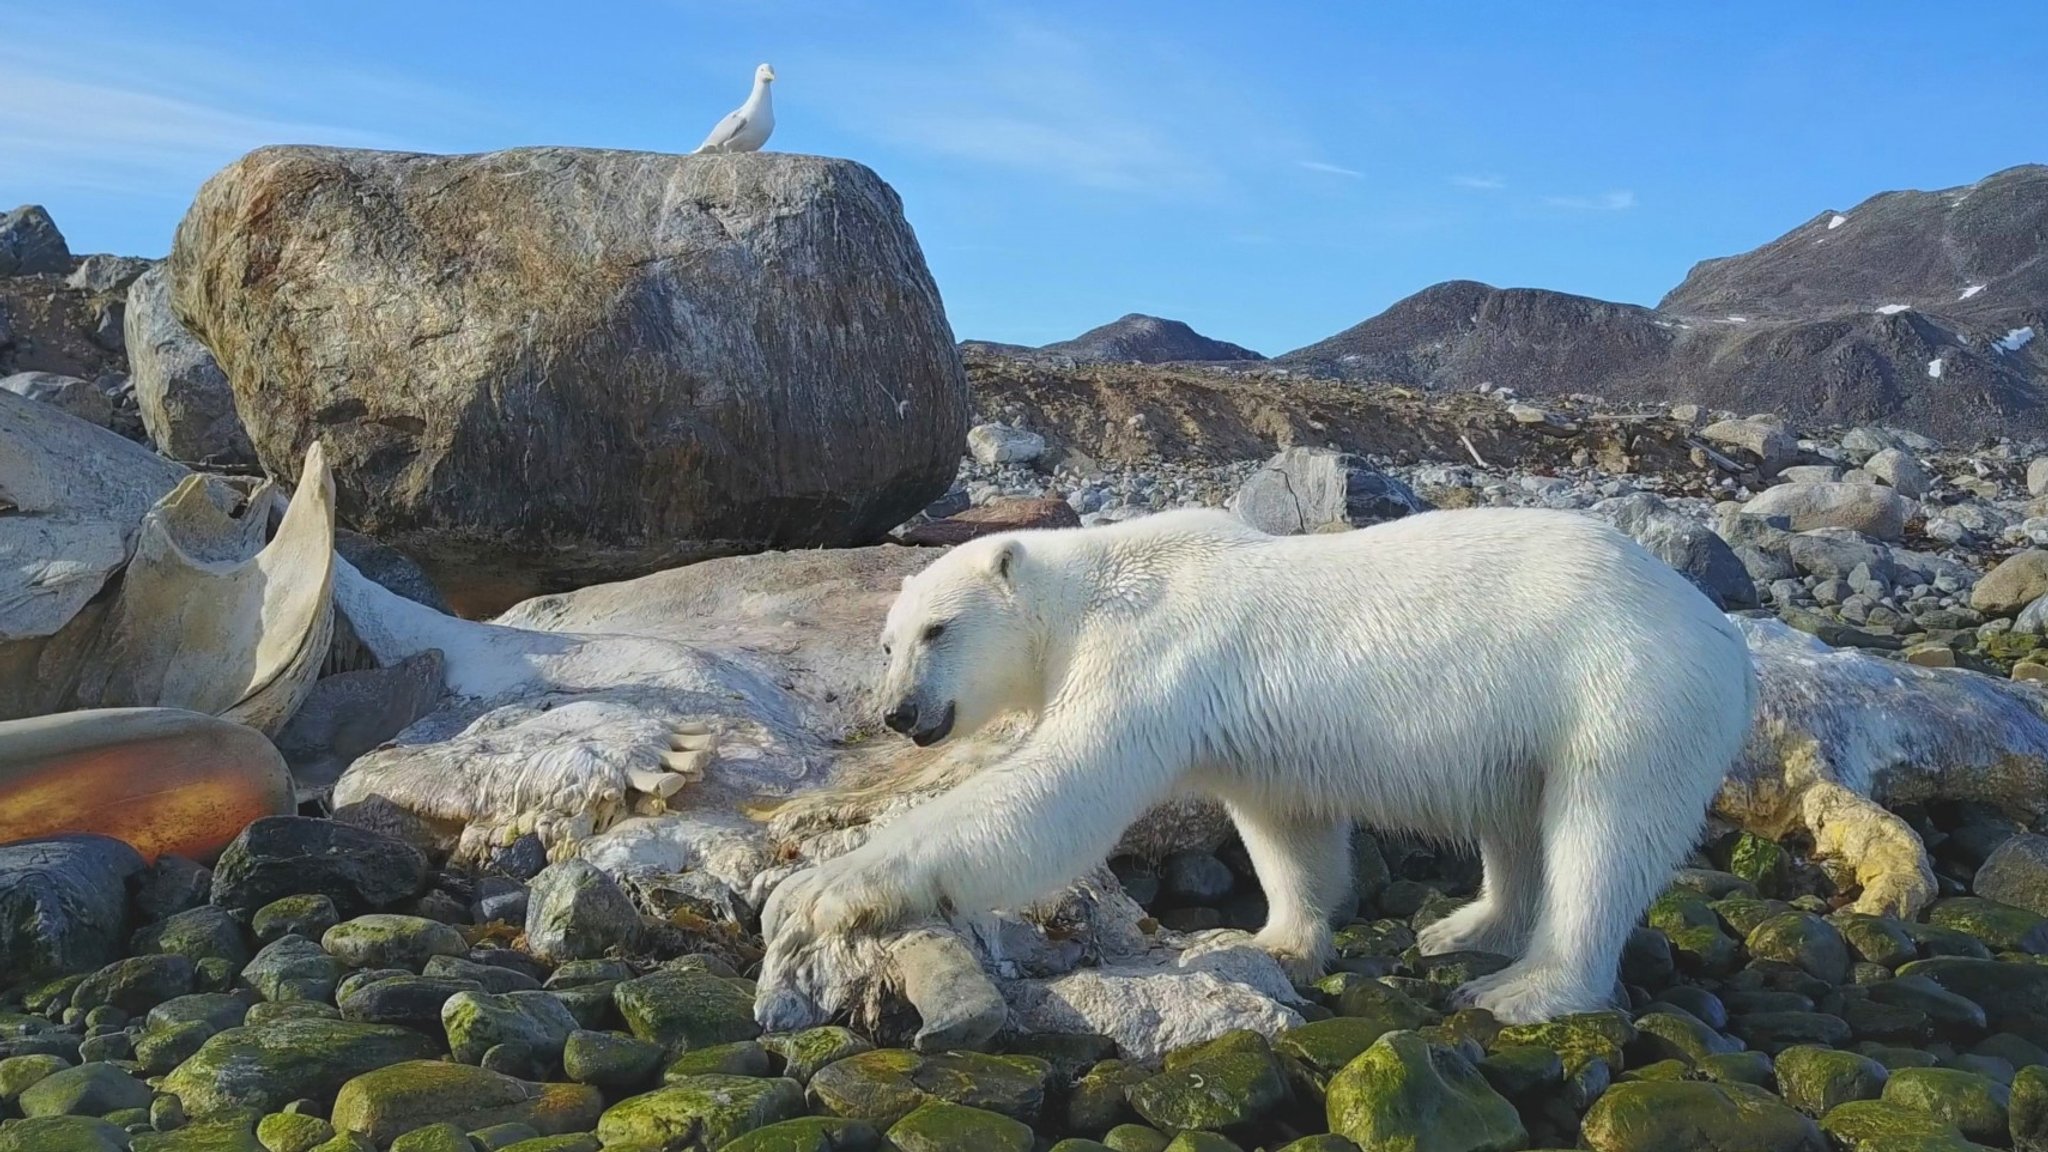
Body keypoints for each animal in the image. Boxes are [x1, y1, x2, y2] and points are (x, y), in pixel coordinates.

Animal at [761, 506, 1753, 1016]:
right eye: (887, 643)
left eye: (939, 629)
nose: (898, 713)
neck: (1088, 590)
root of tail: (1719, 631)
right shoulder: (1252, 734)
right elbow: (1288, 828)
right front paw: (1268, 938)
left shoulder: (1145, 655)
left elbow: (1058, 792)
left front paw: (817, 891)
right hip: (1532, 727)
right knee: (1515, 820)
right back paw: (1467, 926)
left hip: (1625, 692)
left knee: (1602, 834)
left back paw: (1528, 986)